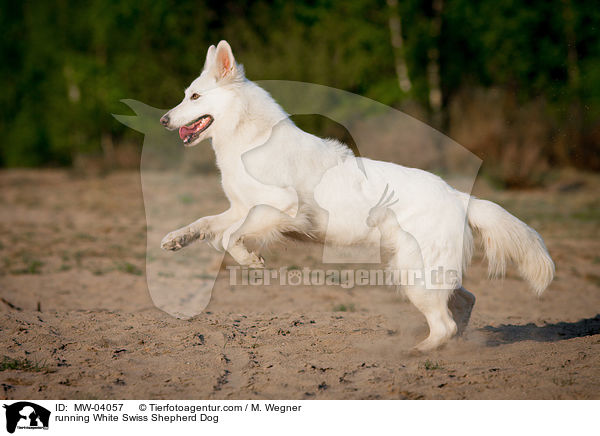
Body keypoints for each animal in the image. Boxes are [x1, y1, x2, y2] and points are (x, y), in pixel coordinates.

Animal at [158, 41, 552, 350]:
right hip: (428, 271)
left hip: (413, 273)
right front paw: (177, 238)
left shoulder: (279, 209)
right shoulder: (240, 207)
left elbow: (229, 236)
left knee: (444, 323)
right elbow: (207, 223)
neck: (248, 139)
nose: (163, 120)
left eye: (195, 96)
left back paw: (419, 351)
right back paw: (459, 342)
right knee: (465, 300)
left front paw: (250, 260)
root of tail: (459, 196)